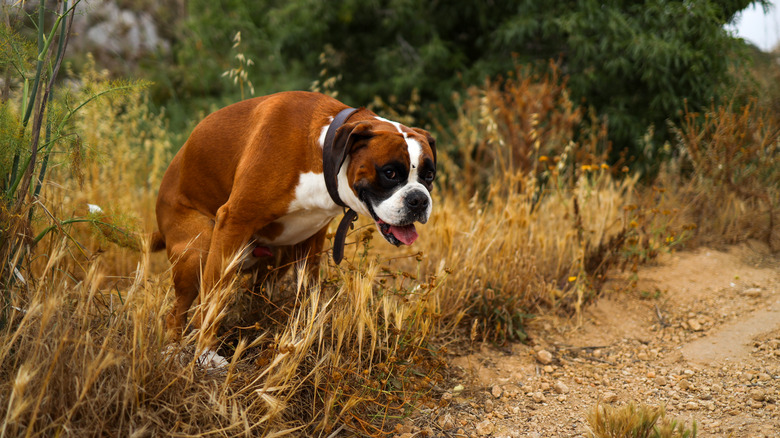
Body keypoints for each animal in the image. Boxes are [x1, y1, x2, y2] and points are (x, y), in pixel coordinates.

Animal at [149, 90, 436, 366]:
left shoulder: (312, 242)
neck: (323, 149)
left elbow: (308, 293)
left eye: (429, 176)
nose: (419, 199)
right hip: (199, 247)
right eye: (389, 173)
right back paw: (173, 350)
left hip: (279, 257)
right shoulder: (234, 222)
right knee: (176, 312)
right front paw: (206, 354)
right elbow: (213, 299)